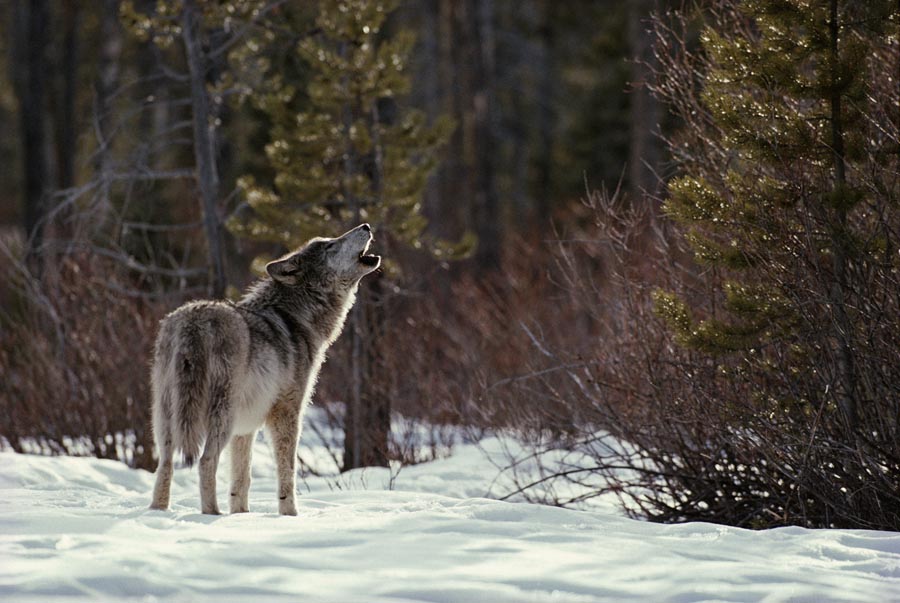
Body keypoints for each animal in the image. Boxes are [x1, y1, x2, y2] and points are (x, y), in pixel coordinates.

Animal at [149, 224, 382, 516]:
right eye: (330, 245)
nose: (366, 226)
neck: (296, 319)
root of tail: (192, 322)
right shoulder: (288, 412)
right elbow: (288, 472)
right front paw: (290, 515)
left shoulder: (245, 429)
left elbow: (241, 480)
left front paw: (242, 516)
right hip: (221, 417)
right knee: (205, 461)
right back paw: (212, 515)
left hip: (166, 419)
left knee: (164, 465)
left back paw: (158, 511)